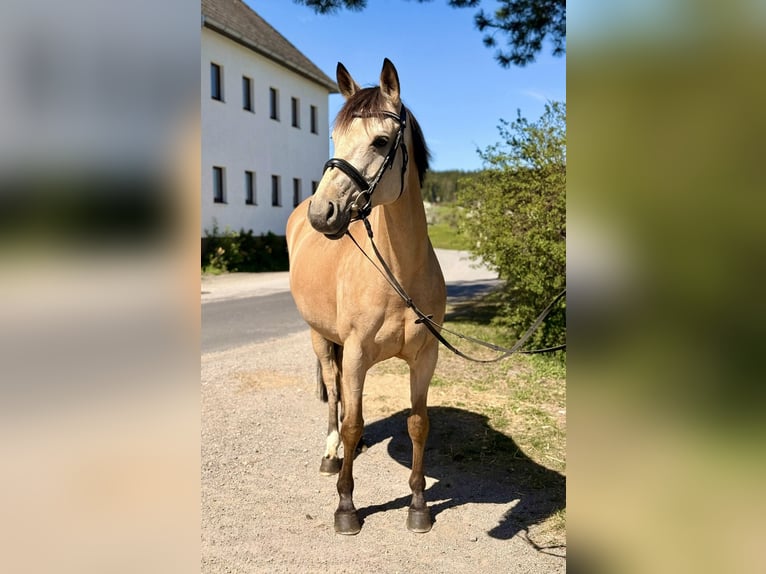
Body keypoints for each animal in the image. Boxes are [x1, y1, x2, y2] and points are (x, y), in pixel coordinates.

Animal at [286, 59, 446, 535]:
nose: (323, 214)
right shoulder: (356, 353)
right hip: (320, 337)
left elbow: (418, 424)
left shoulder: (425, 356)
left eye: (380, 141)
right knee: (336, 395)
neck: (397, 274)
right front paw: (346, 506)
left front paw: (418, 505)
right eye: (335, 138)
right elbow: (354, 421)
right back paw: (330, 455)